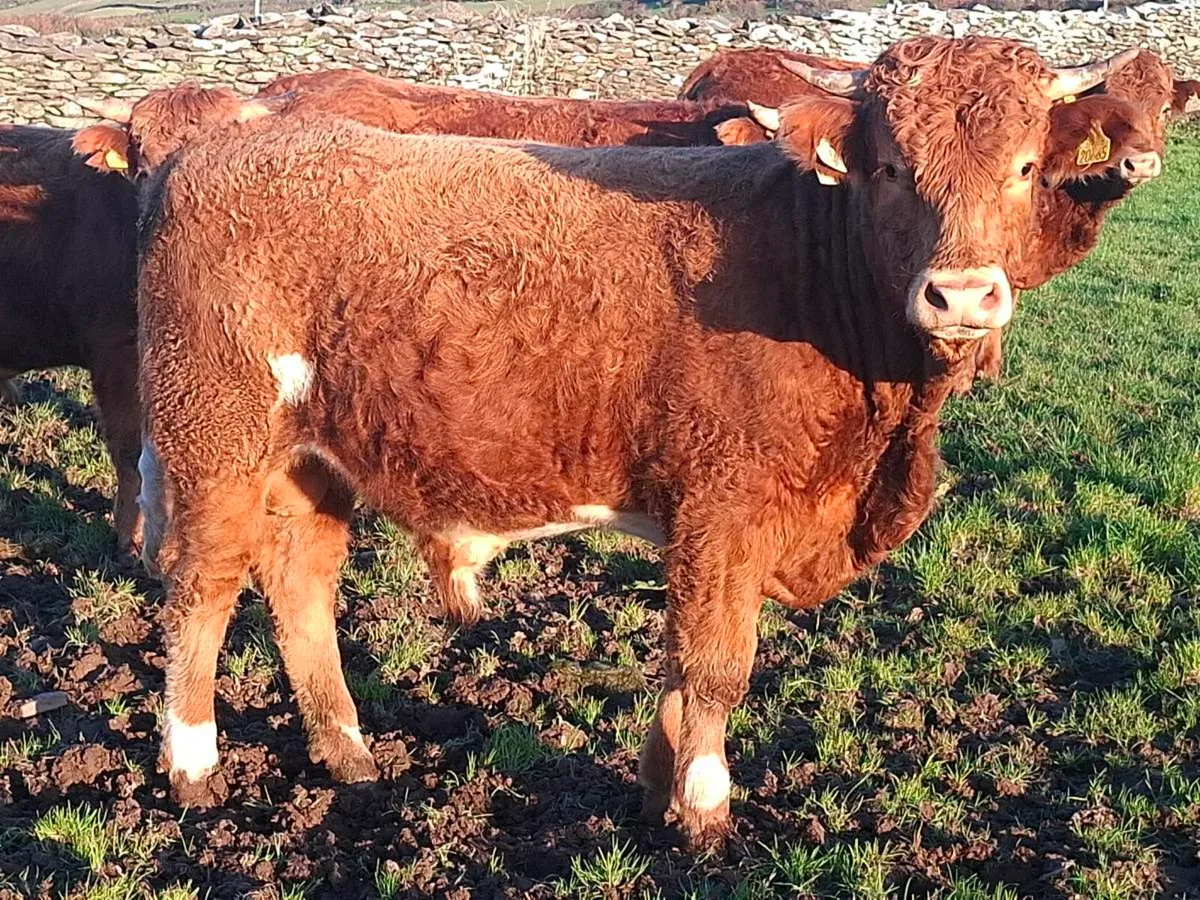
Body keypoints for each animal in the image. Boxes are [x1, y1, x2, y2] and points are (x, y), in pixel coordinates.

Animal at [123, 37, 1138, 847]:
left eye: (1023, 167)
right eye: (891, 166)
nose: (962, 295)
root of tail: (221, 145)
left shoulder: (707, 519)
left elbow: (683, 662)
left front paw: (659, 789)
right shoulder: (725, 504)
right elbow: (717, 666)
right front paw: (706, 815)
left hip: (310, 456)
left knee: (301, 578)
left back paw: (348, 752)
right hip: (213, 436)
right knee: (202, 588)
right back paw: (195, 767)